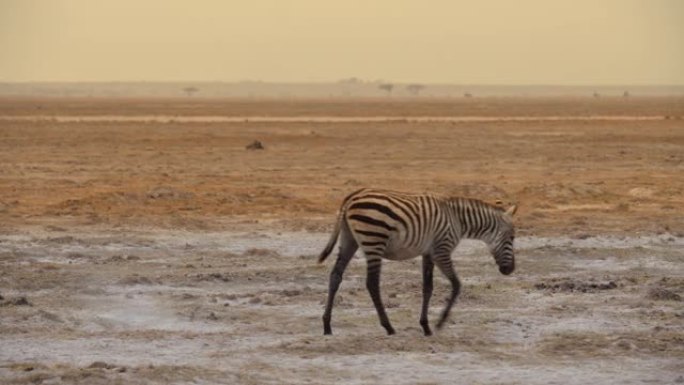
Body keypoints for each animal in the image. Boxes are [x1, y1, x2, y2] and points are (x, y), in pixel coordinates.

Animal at [318, 188, 516, 334]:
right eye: (512, 238)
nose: (511, 270)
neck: (458, 220)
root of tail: (353, 196)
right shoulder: (441, 250)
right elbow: (456, 285)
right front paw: (440, 322)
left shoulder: (428, 253)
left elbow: (427, 288)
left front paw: (425, 326)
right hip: (374, 241)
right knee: (372, 284)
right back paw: (388, 327)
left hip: (349, 239)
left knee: (335, 276)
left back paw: (327, 326)